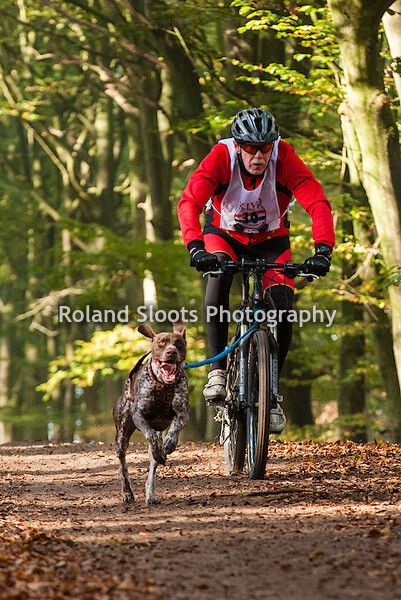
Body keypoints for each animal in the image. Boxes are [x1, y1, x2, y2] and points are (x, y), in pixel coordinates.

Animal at [113, 321, 189, 505]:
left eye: (178, 343)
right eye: (161, 342)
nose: (171, 352)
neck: (163, 384)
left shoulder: (183, 412)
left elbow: (175, 425)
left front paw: (170, 442)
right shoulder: (138, 416)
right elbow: (151, 435)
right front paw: (160, 446)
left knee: (152, 470)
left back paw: (150, 494)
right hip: (121, 436)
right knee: (122, 466)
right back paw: (127, 492)